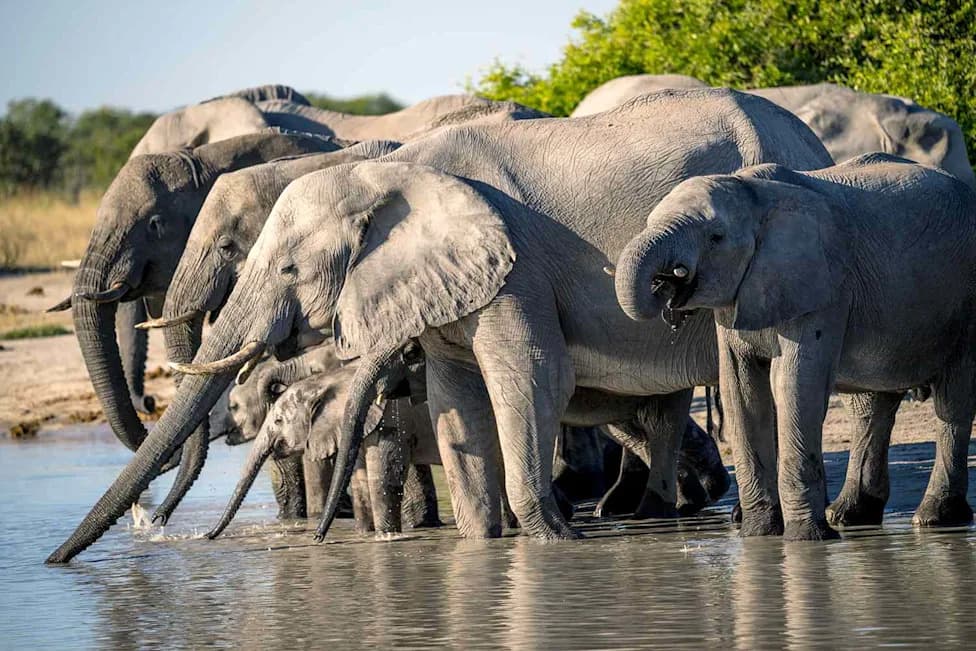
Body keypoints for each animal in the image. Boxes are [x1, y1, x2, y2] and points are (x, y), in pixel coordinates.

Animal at [614, 152, 976, 540]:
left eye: (716, 237)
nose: (670, 283)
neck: (753, 194)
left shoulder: (822, 288)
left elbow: (795, 384)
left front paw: (806, 539)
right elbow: (741, 391)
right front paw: (758, 536)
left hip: (964, 305)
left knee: (953, 401)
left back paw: (934, 519)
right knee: (871, 407)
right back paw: (849, 516)